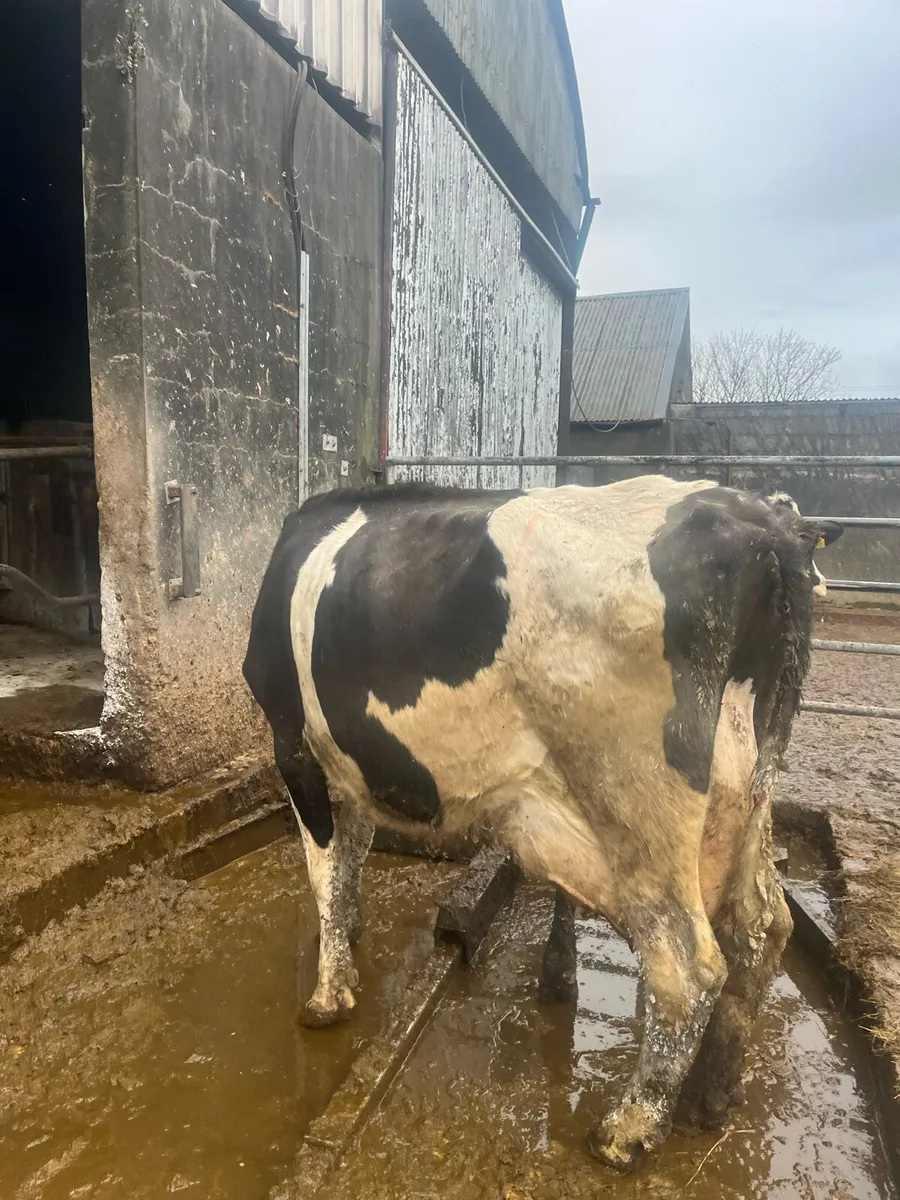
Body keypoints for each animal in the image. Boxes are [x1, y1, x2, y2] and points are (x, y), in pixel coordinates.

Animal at [242, 475, 842, 1171]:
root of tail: (756, 523)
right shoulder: (350, 766)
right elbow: (351, 856)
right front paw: (350, 935)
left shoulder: (293, 745)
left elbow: (324, 869)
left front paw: (328, 996)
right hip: (746, 785)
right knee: (762, 928)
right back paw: (711, 1097)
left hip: (636, 798)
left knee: (689, 963)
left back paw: (625, 1132)